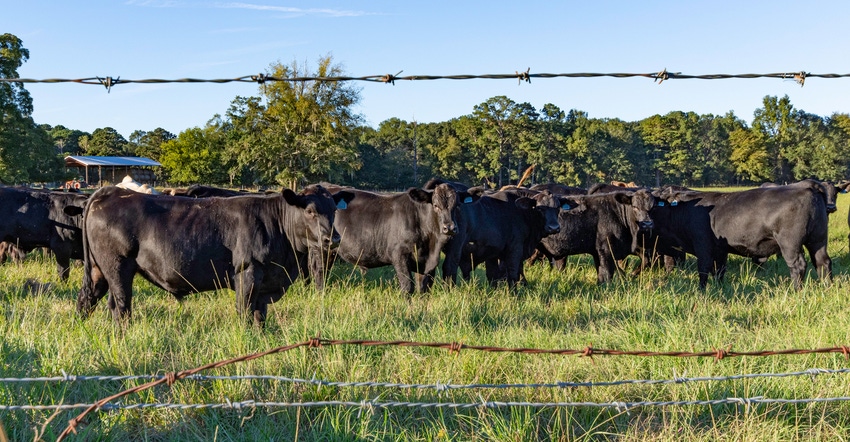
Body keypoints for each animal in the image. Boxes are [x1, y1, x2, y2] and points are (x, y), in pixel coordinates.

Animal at [74, 185, 350, 326]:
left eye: (334, 209)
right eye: (310, 211)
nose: (333, 239)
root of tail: (108, 192)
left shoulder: (265, 283)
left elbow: (260, 316)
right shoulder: (248, 273)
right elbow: (245, 313)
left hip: (99, 271)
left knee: (87, 300)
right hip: (117, 267)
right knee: (120, 305)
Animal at [648, 184, 828, 290]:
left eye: (656, 203)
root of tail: (808, 189)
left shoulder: (703, 246)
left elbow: (704, 270)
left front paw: (701, 292)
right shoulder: (720, 250)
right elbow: (719, 270)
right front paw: (719, 289)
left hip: (790, 244)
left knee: (798, 266)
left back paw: (796, 290)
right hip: (818, 240)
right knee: (823, 262)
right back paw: (827, 287)